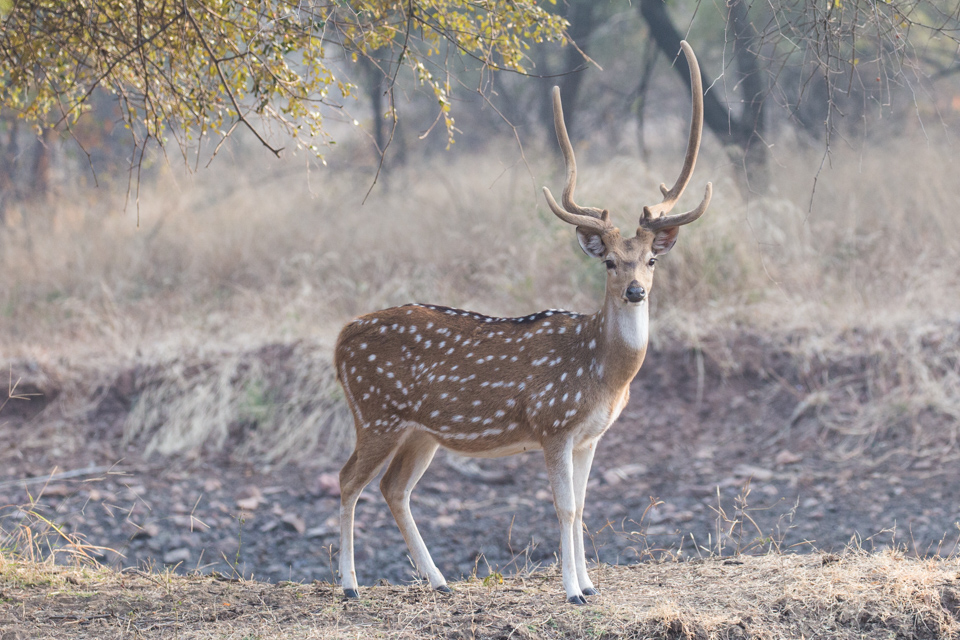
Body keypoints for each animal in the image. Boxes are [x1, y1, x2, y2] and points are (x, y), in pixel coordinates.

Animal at [334, 41, 712, 604]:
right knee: (347, 480)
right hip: (376, 412)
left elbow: (582, 506)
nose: (635, 291)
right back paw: (350, 585)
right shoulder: (553, 423)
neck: (603, 375)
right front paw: (573, 591)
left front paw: (591, 584)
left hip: (420, 430)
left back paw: (439, 580)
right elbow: (565, 506)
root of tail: (339, 341)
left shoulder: (589, 436)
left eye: (650, 260)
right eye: (609, 262)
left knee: (392, 487)